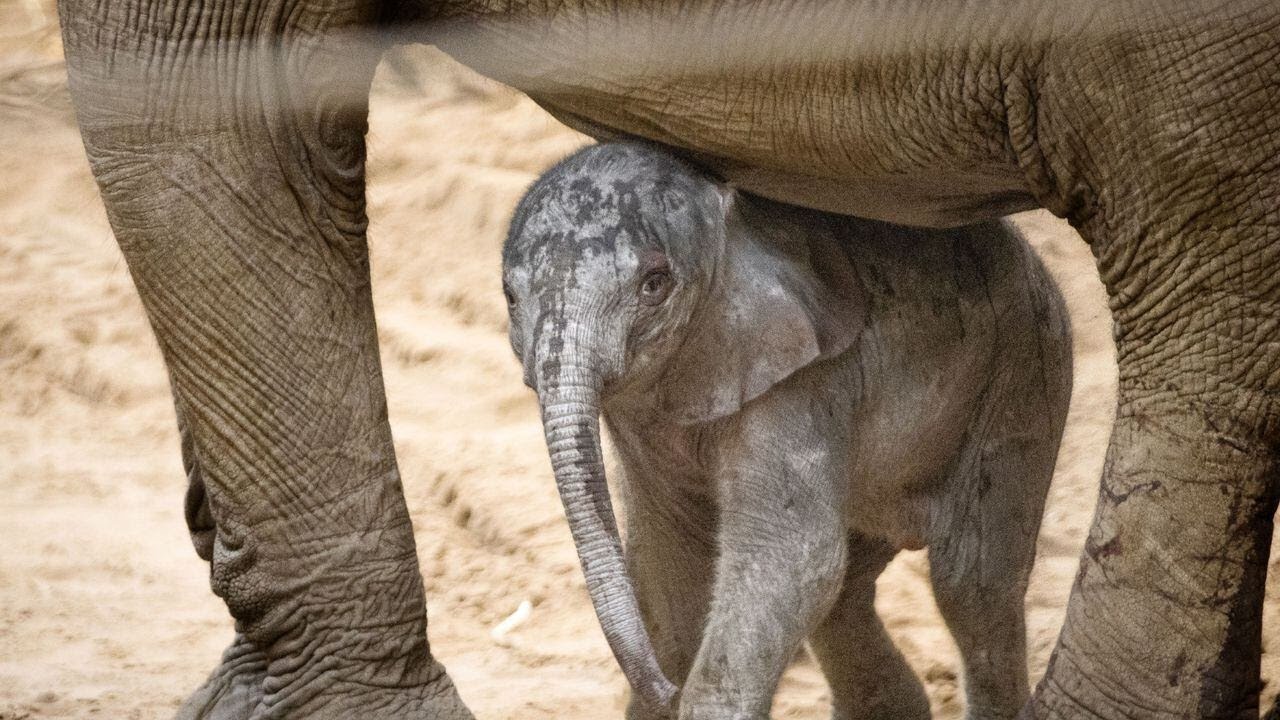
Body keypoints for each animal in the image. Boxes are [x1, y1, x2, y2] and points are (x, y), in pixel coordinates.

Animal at [501, 142, 1073, 719]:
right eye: (509, 296)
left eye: (655, 284)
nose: (664, 688)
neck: (729, 219)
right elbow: (671, 555)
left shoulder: (804, 382)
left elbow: (790, 559)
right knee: (849, 594)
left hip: (1025, 369)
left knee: (972, 583)